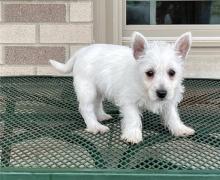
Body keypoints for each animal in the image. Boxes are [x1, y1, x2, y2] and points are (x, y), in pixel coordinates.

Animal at [49, 32, 194, 143]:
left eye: (172, 72)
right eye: (149, 73)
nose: (162, 93)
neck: (142, 85)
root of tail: (82, 51)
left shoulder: (169, 101)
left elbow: (172, 116)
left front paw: (180, 129)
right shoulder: (129, 102)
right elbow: (133, 119)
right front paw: (132, 135)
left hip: (98, 89)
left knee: (97, 104)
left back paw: (101, 116)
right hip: (87, 90)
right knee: (86, 108)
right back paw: (95, 126)